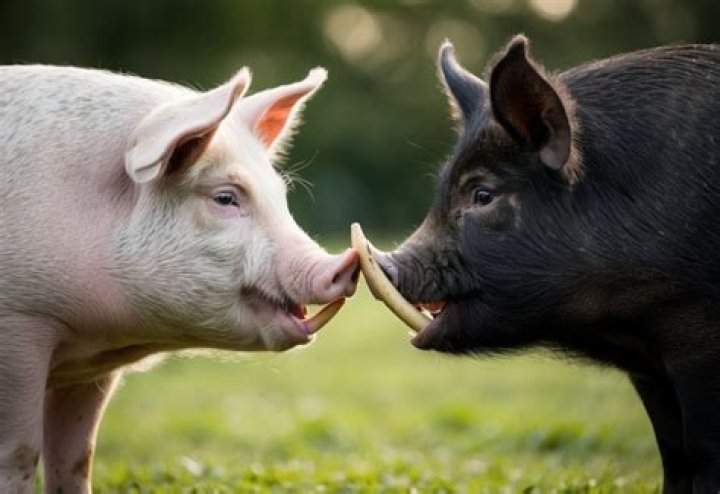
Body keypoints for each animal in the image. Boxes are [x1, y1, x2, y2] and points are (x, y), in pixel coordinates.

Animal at [0, 64, 358, 493]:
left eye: (281, 195)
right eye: (225, 198)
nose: (345, 263)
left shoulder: (89, 367)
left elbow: (77, 456)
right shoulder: (20, 324)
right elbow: (20, 451)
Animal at [377, 36, 720, 493]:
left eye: (482, 194)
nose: (386, 264)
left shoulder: (696, 336)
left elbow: (700, 449)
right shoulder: (650, 368)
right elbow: (673, 454)